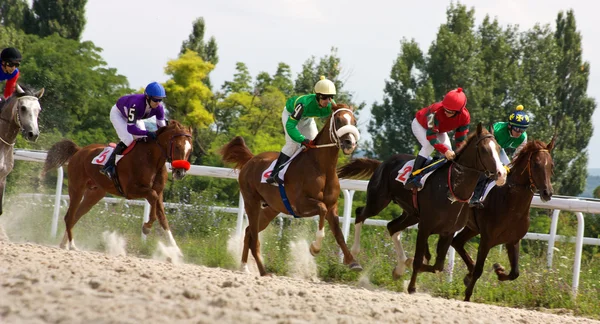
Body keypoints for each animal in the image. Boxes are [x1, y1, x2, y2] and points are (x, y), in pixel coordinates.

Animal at [42, 119, 192, 253]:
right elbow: (153, 197)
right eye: (177, 146)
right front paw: (147, 227)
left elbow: (163, 218)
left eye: (190, 149)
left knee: (75, 216)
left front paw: (176, 251)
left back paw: (64, 243)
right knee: (69, 216)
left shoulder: (159, 192)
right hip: (77, 188)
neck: (151, 159)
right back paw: (72, 245)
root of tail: (79, 151)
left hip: (95, 193)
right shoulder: (131, 190)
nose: (180, 172)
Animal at [220, 104, 360, 276]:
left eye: (354, 121)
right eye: (339, 120)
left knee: (248, 233)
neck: (322, 167)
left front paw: (352, 261)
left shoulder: (332, 206)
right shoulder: (300, 205)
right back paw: (261, 271)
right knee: (254, 240)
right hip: (251, 202)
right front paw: (315, 248)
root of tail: (251, 159)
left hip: (270, 209)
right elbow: (321, 208)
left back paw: (246, 267)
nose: (349, 143)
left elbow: (339, 234)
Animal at [338, 124, 506, 294]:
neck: (452, 190)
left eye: (498, 148)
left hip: (411, 213)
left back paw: (399, 268)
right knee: (360, 215)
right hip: (378, 201)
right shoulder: (425, 226)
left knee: (392, 227)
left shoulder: (448, 231)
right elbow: (418, 260)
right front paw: (411, 286)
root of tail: (382, 163)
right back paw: (353, 256)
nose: (501, 174)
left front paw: (406, 267)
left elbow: (438, 265)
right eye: (484, 150)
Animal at [452, 137, 556, 302]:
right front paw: (467, 295)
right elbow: (479, 270)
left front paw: (499, 271)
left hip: (472, 227)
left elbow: (515, 273)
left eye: (551, 165)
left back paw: (468, 273)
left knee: (457, 242)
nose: (548, 193)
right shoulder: (486, 240)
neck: (511, 205)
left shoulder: (513, 240)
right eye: (535, 164)